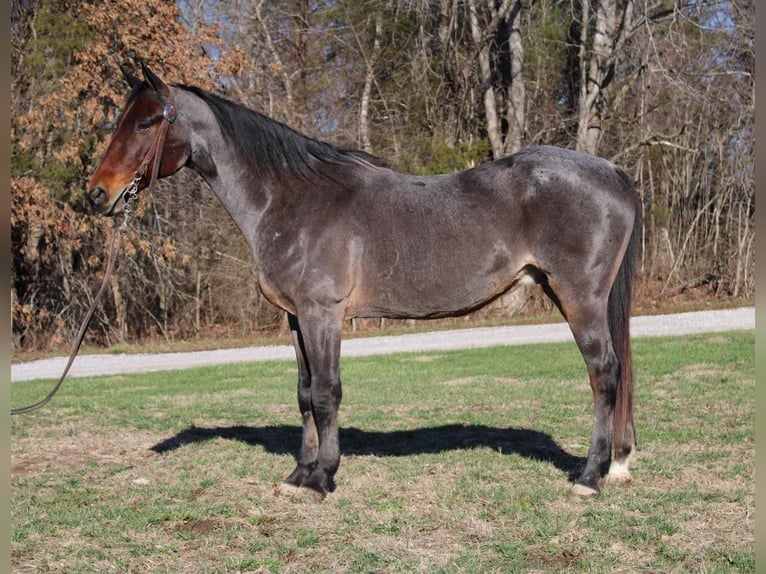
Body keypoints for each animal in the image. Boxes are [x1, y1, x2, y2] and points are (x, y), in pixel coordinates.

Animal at [88, 63, 640, 502]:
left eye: (146, 122)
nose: (97, 194)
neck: (290, 200)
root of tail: (612, 170)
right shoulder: (296, 319)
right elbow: (304, 393)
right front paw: (299, 474)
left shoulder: (323, 314)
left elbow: (326, 393)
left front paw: (322, 478)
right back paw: (616, 464)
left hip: (580, 297)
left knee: (604, 372)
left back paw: (589, 476)